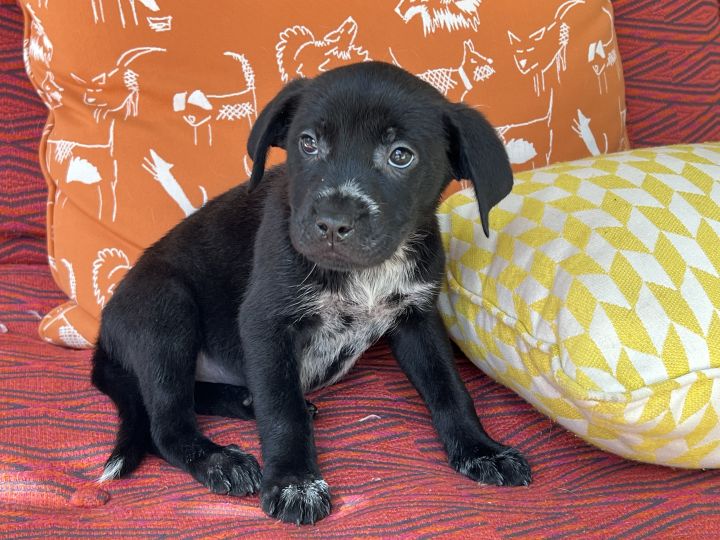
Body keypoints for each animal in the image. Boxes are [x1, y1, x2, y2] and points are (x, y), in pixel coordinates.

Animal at [91, 62, 528, 524]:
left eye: (401, 155)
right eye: (308, 143)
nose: (333, 223)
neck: (364, 272)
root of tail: (102, 337)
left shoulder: (417, 319)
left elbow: (450, 388)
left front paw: (481, 449)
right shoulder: (266, 324)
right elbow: (283, 410)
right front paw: (295, 482)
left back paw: (245, 402)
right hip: (167, 311)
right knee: (168, 425)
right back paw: (218, 460)